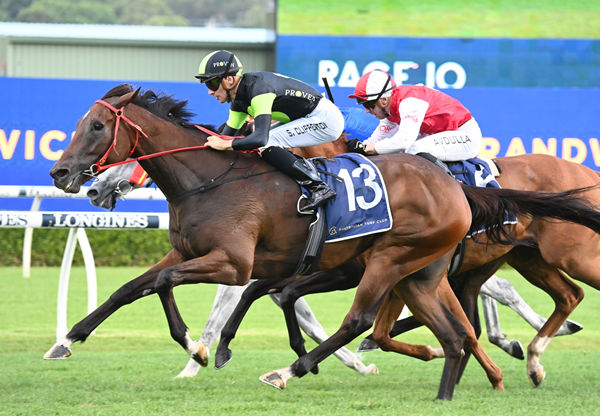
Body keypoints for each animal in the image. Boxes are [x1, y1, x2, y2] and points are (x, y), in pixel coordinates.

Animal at [49, 84, 600, 400]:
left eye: (97, 126)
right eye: (78, 124)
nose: (65, 175)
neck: (210, 179)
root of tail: (455, 188)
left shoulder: (233, 262)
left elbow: (181, 286)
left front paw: (198, 350)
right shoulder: (194, 253)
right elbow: (134, 288)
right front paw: (69, 339)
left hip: (404, 260)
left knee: (370, 319)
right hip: (446, 268)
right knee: (469, 321)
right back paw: (494, 368)